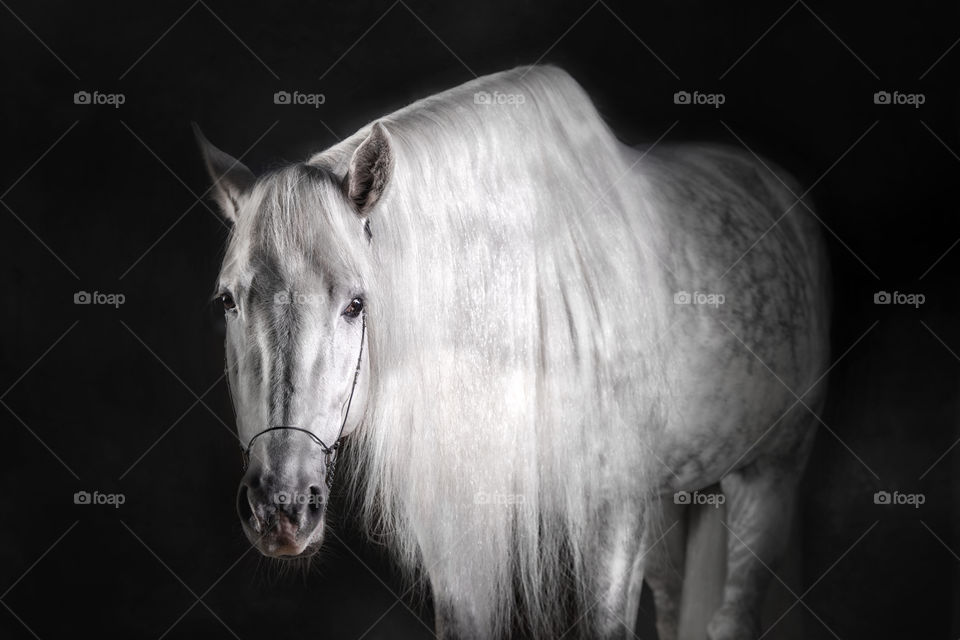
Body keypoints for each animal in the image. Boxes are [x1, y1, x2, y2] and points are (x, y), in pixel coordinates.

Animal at [194, 65, 830, 639]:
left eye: (356, 303)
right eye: (227, 300)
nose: (280, 508)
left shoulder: (615, 518)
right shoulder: (456, 529)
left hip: (770, 476)